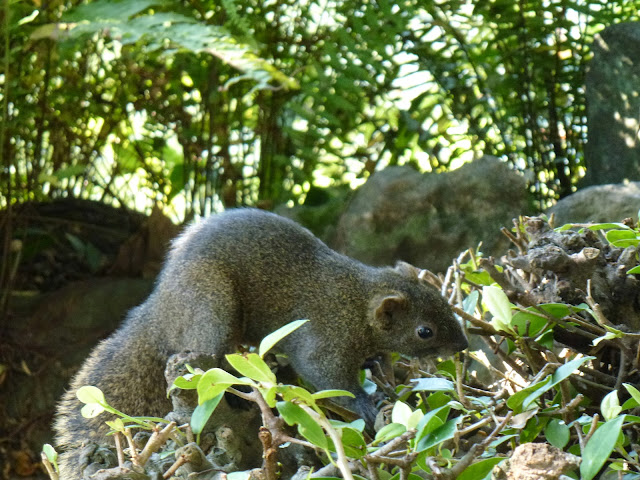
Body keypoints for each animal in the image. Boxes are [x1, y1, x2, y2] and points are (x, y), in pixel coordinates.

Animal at [53, 208, 464, 478]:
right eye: (424, 331)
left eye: (444, 303)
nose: (461, 345)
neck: (358, 299)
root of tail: (161, 309)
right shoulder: (323, 337)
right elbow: (324, 375)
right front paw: (366, 402)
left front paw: (377, 366)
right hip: (213, 305)